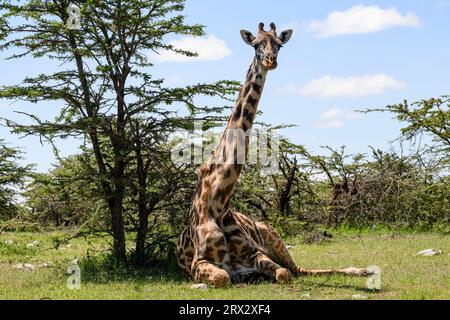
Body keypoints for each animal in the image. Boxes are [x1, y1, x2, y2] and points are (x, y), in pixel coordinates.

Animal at [176, 21, 370, 288]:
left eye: (279, 44)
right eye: (256, 44)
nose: (270, 60)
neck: (218, 200)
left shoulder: (256, 253)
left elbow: (283, 273)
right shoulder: (199, 263)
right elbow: (223, 277)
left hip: (273, 234)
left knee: (298, 269)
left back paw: (363, 271)